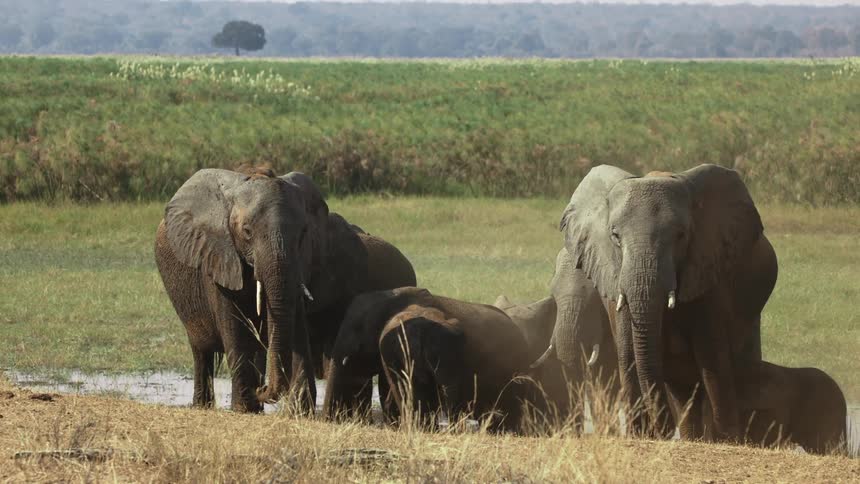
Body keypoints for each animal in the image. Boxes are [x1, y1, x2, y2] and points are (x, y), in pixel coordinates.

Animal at [155, 168, 416, 413]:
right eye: (247, 232)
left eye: (303, 234)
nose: (261, 390)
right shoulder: (218, 256)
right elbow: (234, 325)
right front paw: (245, 409)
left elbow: (296, 322)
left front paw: (298, 411)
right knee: (201, 351)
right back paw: (205, 405)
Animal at [556, 164, 778, 441]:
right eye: (615, 236)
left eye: (681, 236)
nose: (660, 430)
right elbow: (628, 353)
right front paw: (639, 436)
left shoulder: (709, 270)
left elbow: (713, 358)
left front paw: (729, 441)